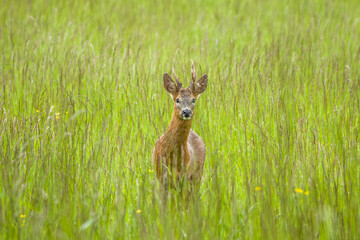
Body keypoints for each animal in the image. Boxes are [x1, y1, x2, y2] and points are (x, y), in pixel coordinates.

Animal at [153, 60, 208, 188]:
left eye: (193, 100)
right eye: (177, 99)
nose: (186, 112)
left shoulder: (185, 176)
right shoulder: (161, 176)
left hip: (197, 175)